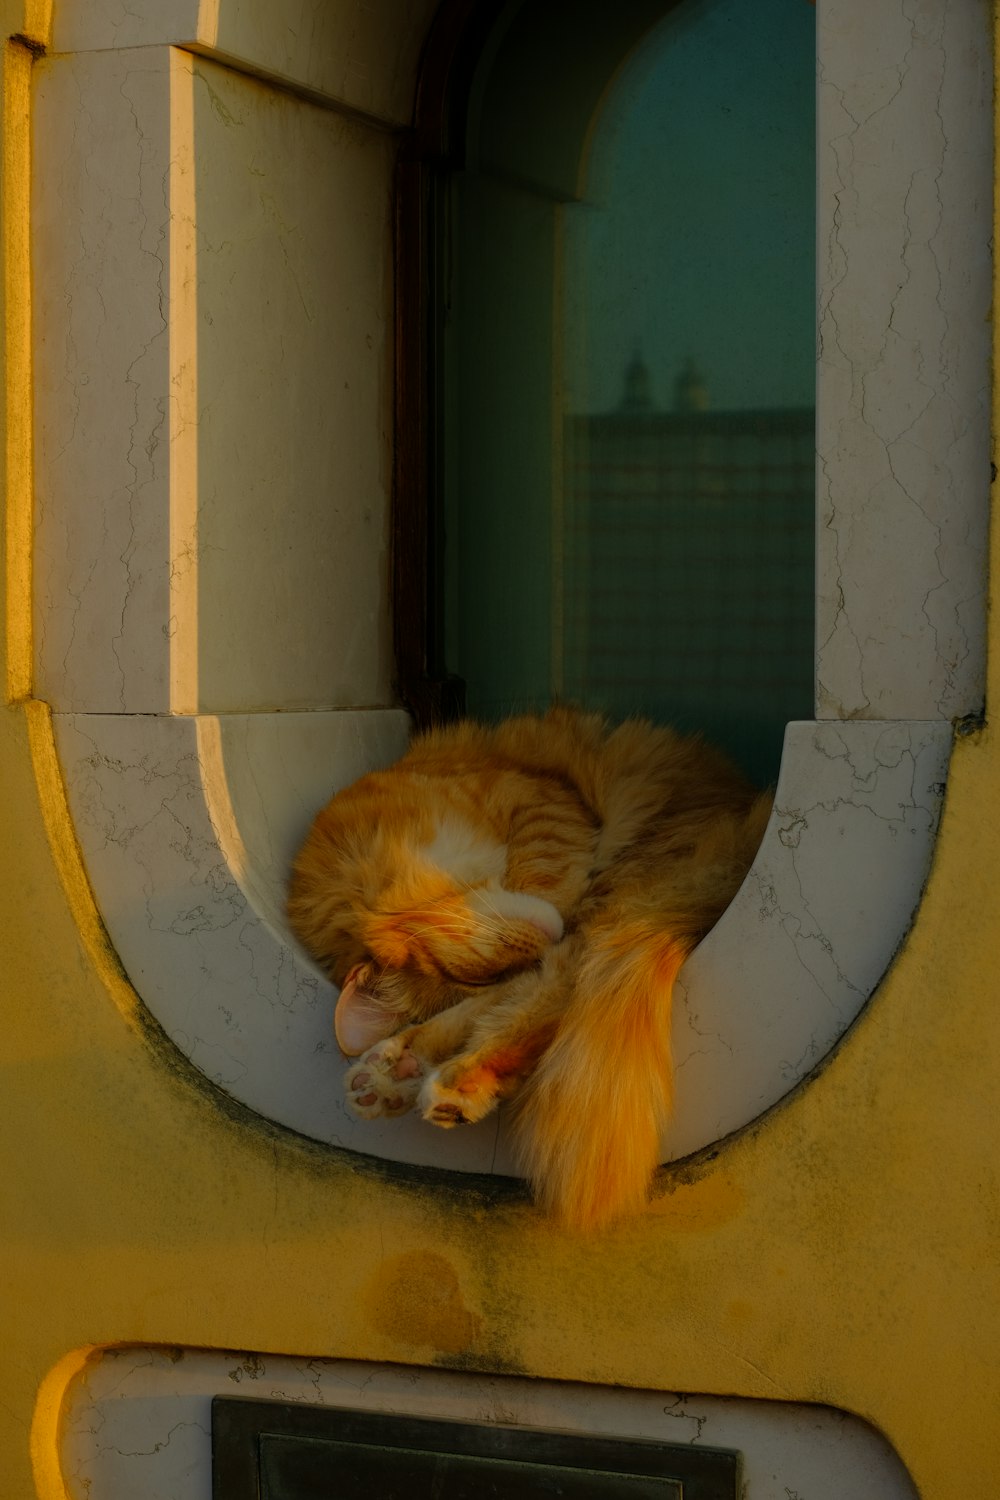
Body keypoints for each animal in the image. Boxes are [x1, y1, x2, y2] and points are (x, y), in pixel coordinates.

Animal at [284, 708, 773, 1236]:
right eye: (480, 977)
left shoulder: (539, 799)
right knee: (542, 1003)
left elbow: (545, 872)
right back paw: (411, 1078)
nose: (542, 945)